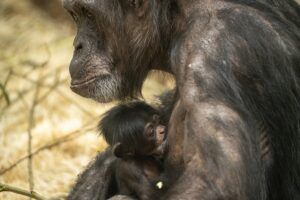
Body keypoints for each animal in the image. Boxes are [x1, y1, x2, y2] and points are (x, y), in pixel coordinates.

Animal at [63, 0, 300, 199]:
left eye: (88, 13)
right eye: (74, 14)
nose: (77, 44)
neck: (177, 21)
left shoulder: (210, 58)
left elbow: (217, 183)